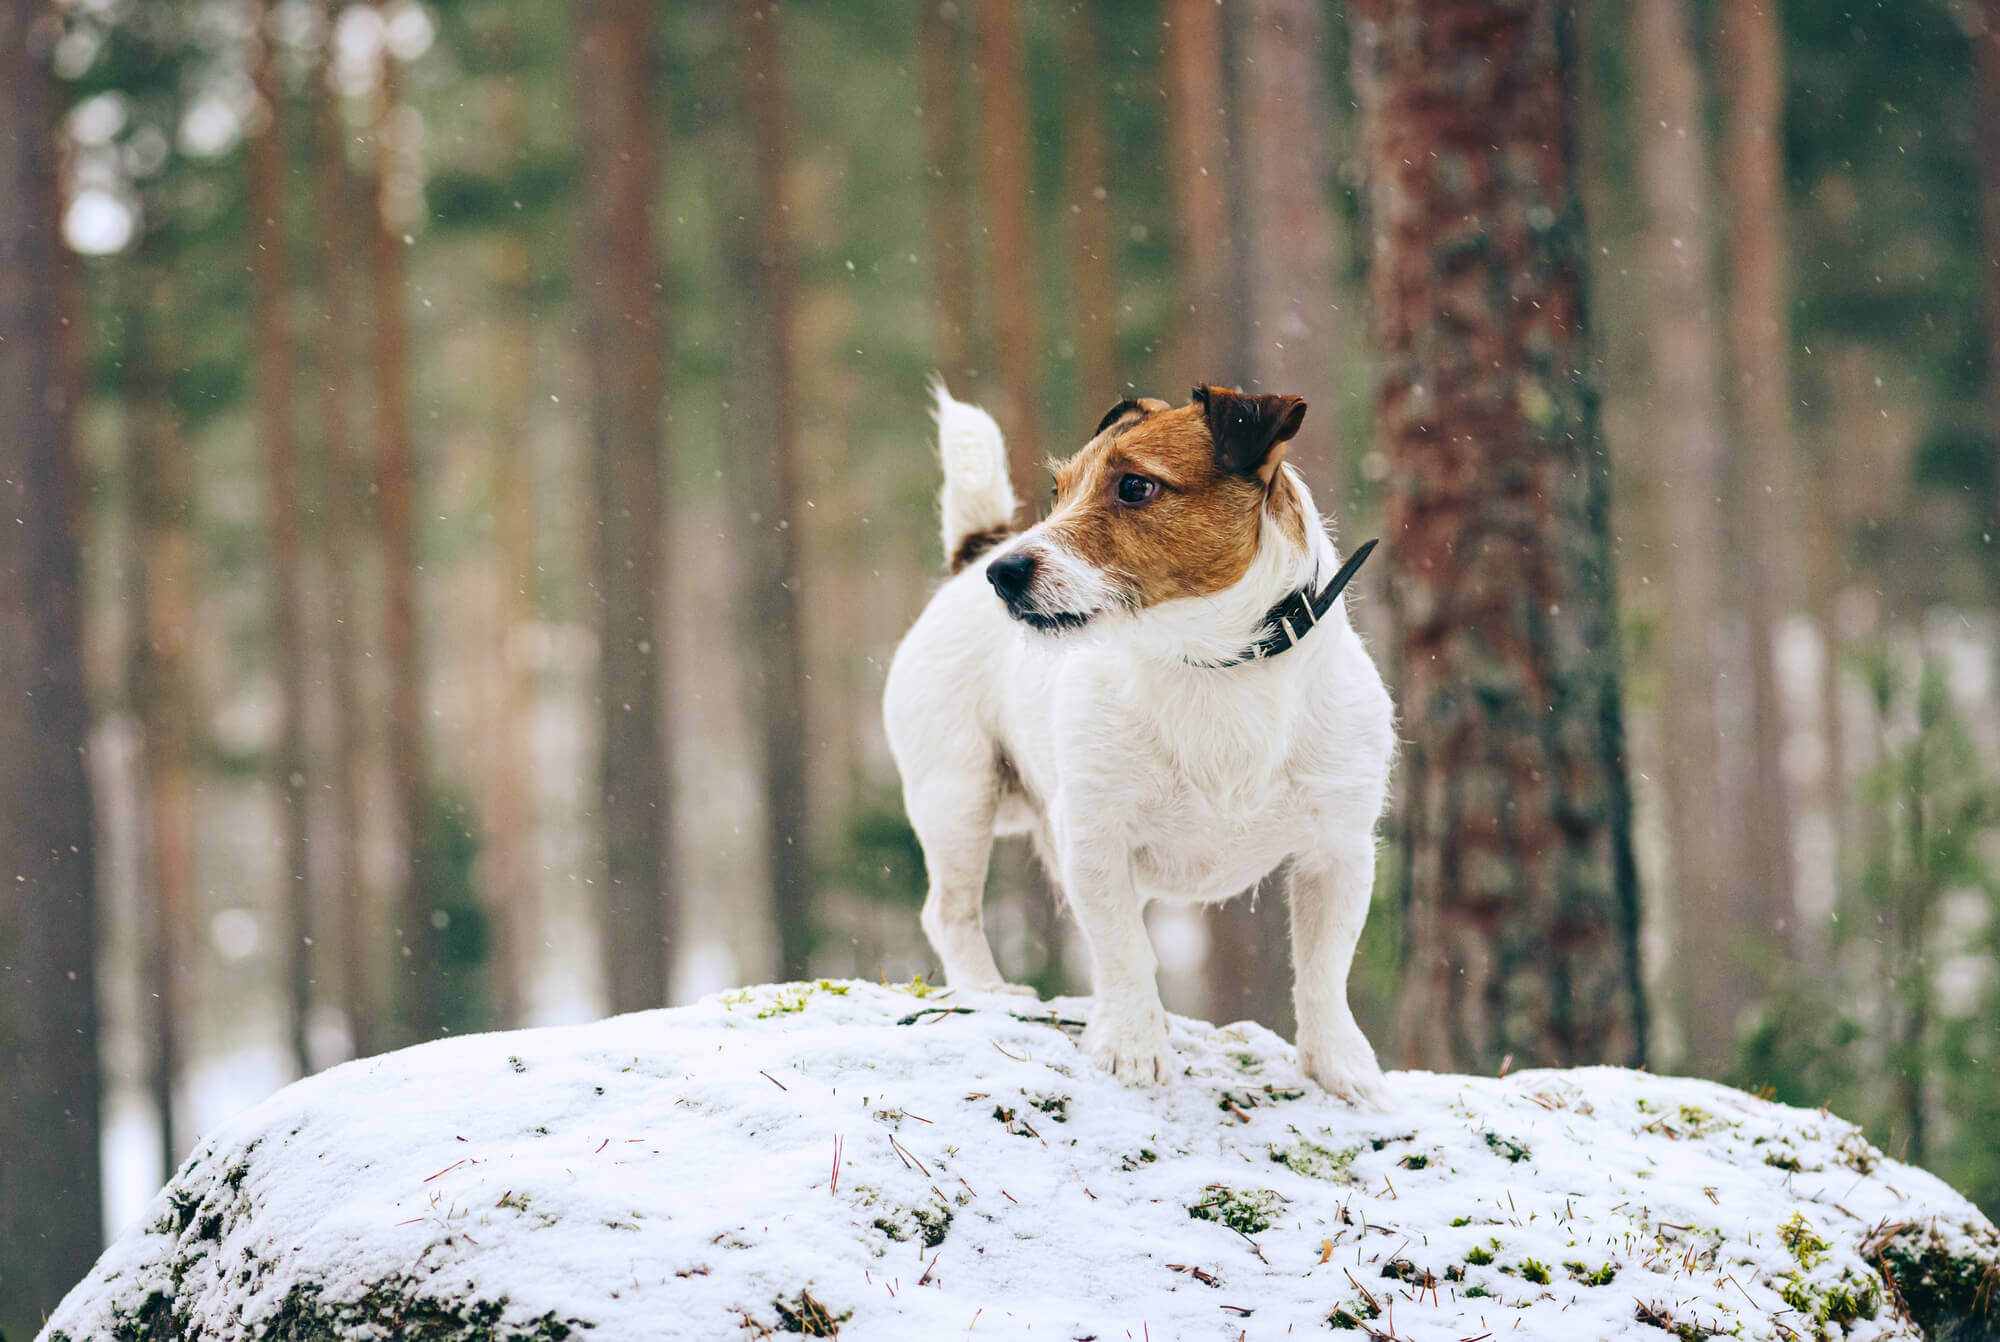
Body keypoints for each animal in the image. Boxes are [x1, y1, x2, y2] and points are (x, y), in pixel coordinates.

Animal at [884, 380, 1400, 1104]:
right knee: (950, 911)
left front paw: (1339, 1066)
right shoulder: (1098, 838)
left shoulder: (1338, 851)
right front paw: (1133, 1047)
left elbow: (1326, 969)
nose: (1003, 573)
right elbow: (1126, 950)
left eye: (1134, 486)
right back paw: (988, 990)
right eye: (1059, 490)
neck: (1210, 665)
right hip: (957, 794)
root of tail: (971, 555)